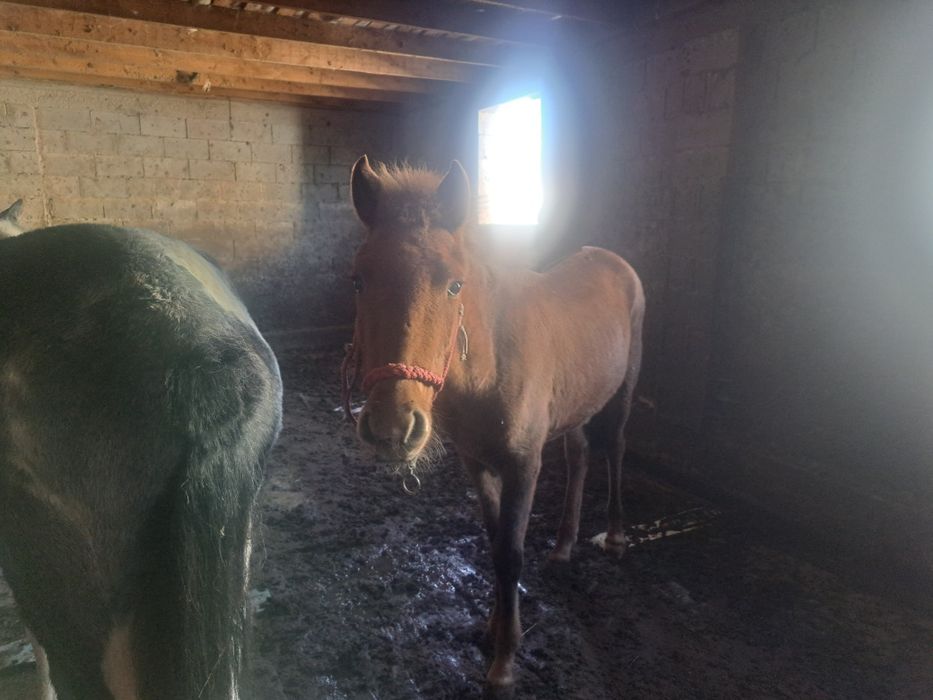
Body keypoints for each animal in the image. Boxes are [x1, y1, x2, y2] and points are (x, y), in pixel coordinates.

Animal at [342, 156, 645, 691]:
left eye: (454, 284)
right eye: (359, 280)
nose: (392, 428)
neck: (491, 365)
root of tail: (613, 260)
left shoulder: (524, 465)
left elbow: (510, 553)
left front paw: (504, 661)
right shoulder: (477, 462)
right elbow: (492, 541)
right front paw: (491, 627)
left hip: (624, 391)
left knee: (615, 447)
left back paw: (614, 536)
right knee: (580, 456)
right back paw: (564, 546)